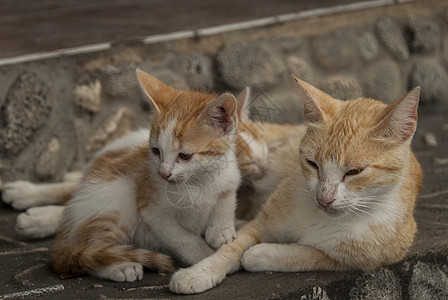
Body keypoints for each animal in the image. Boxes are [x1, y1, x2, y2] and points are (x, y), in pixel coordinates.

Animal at [170, 76, 422, 294]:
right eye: (312, 164)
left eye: (354, 172)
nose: (324, 199)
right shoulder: (262, 224)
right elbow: (230, 248)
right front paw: (198, 273)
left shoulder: (362, 261)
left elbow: (308, 255)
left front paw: (260, 254)